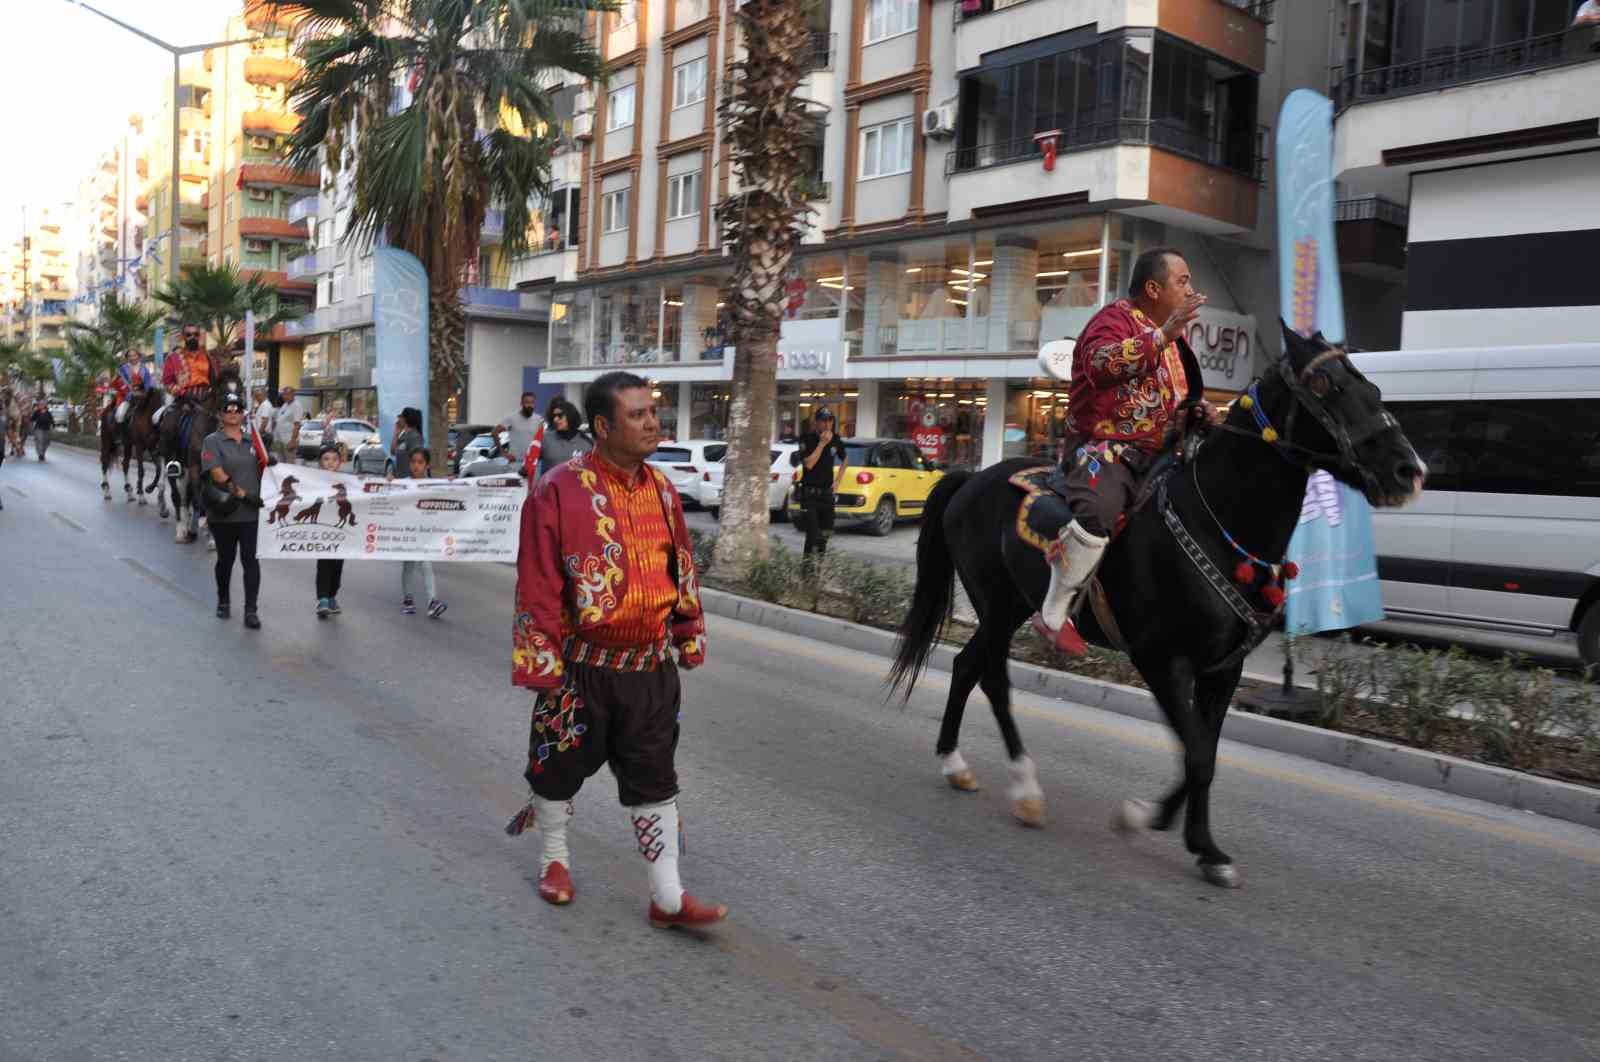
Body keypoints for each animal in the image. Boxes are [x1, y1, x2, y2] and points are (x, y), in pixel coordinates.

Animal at [889, 326, 1427, 889]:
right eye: (1326, 385)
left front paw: (1185, 833)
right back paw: (1025, 788)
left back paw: (955, 764)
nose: (1407, 470)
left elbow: (1204, 752)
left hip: (1009, 607)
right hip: (996, 604)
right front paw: (1167, 827)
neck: (1218, 521)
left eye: (1371, 386)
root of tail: (968, 479)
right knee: (991, 676)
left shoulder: (1223, 670)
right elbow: (1197, 753)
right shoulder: (1162, 661)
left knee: (967, 666)